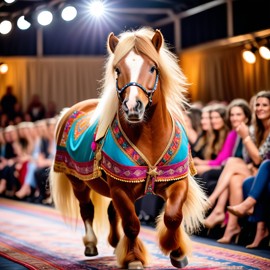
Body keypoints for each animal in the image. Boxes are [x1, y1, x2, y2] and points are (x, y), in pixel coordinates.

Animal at [50, 26, 207, 268]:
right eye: (117, 70)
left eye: (152, 68)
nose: (133, 106)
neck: (150, 140)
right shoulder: (120, 188)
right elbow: (132, 224)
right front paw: (134, 258)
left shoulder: (177, 182)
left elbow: (173, 216)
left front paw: (176, 251)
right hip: (78, 182)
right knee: (88, 210)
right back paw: (91, 244)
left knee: (111, 212)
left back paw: (116, 244)